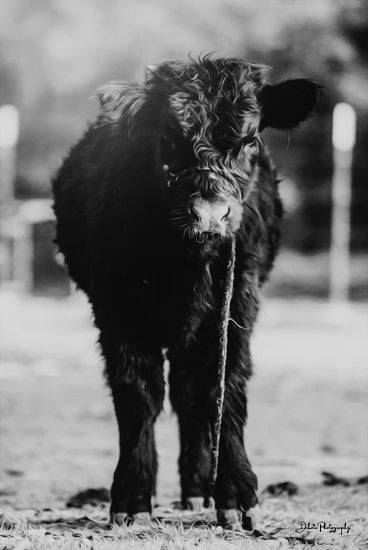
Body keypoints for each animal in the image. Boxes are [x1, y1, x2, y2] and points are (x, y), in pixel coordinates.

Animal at [51, 57, 320, 532]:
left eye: (250, 139)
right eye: (168, 138)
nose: (210, 214)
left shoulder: (239, 302)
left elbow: (224, 386)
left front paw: (236, 495)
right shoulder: (115, 307)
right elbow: (138, 394)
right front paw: (132, 497)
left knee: (192, 395)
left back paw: (197, 489)